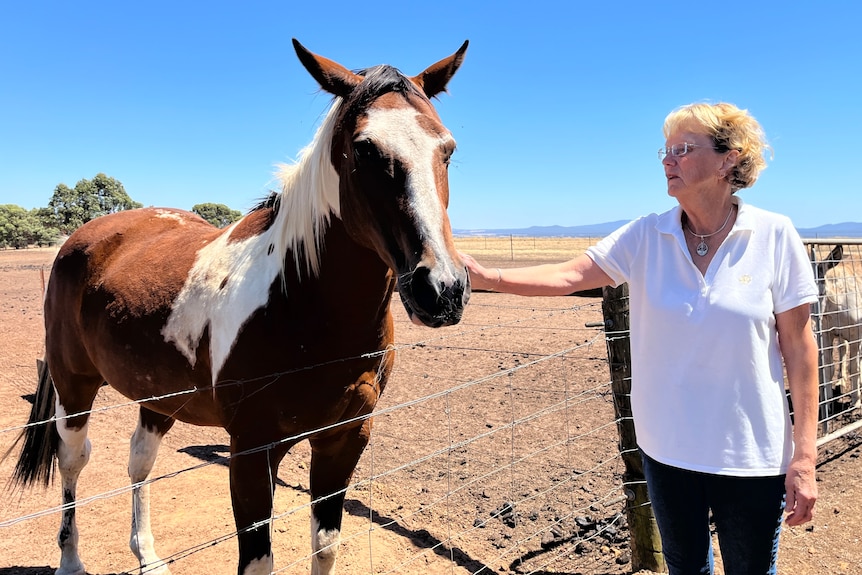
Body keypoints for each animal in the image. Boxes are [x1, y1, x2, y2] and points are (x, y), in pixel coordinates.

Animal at [10, 39, 472, 575]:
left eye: (447, 148)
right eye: (363, 148)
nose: (441, 288)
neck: (305, 307)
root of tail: (81, 237)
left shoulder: (345, 437)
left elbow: (325, 545)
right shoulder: (251, 450)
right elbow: (258, 560)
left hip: (157, 397)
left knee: (139, 460)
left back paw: (147, 555)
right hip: (75, 384)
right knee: (73, 458)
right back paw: (70, 559)